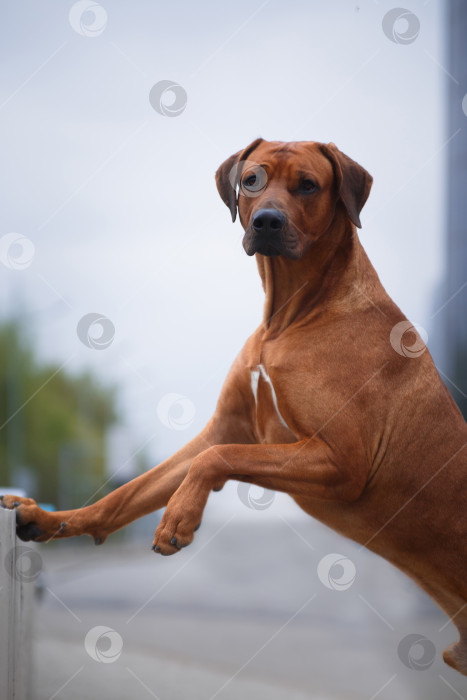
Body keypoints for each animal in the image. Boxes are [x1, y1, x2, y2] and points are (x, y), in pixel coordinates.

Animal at [2, 138, 467, 672]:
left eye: (308, 185)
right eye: (251, 180)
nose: (266, 221)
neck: (289, 317)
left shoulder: (343, 462)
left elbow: (214, 459)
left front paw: (180, 516)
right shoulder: (227, 426)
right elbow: (132, 491)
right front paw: (51, 518)